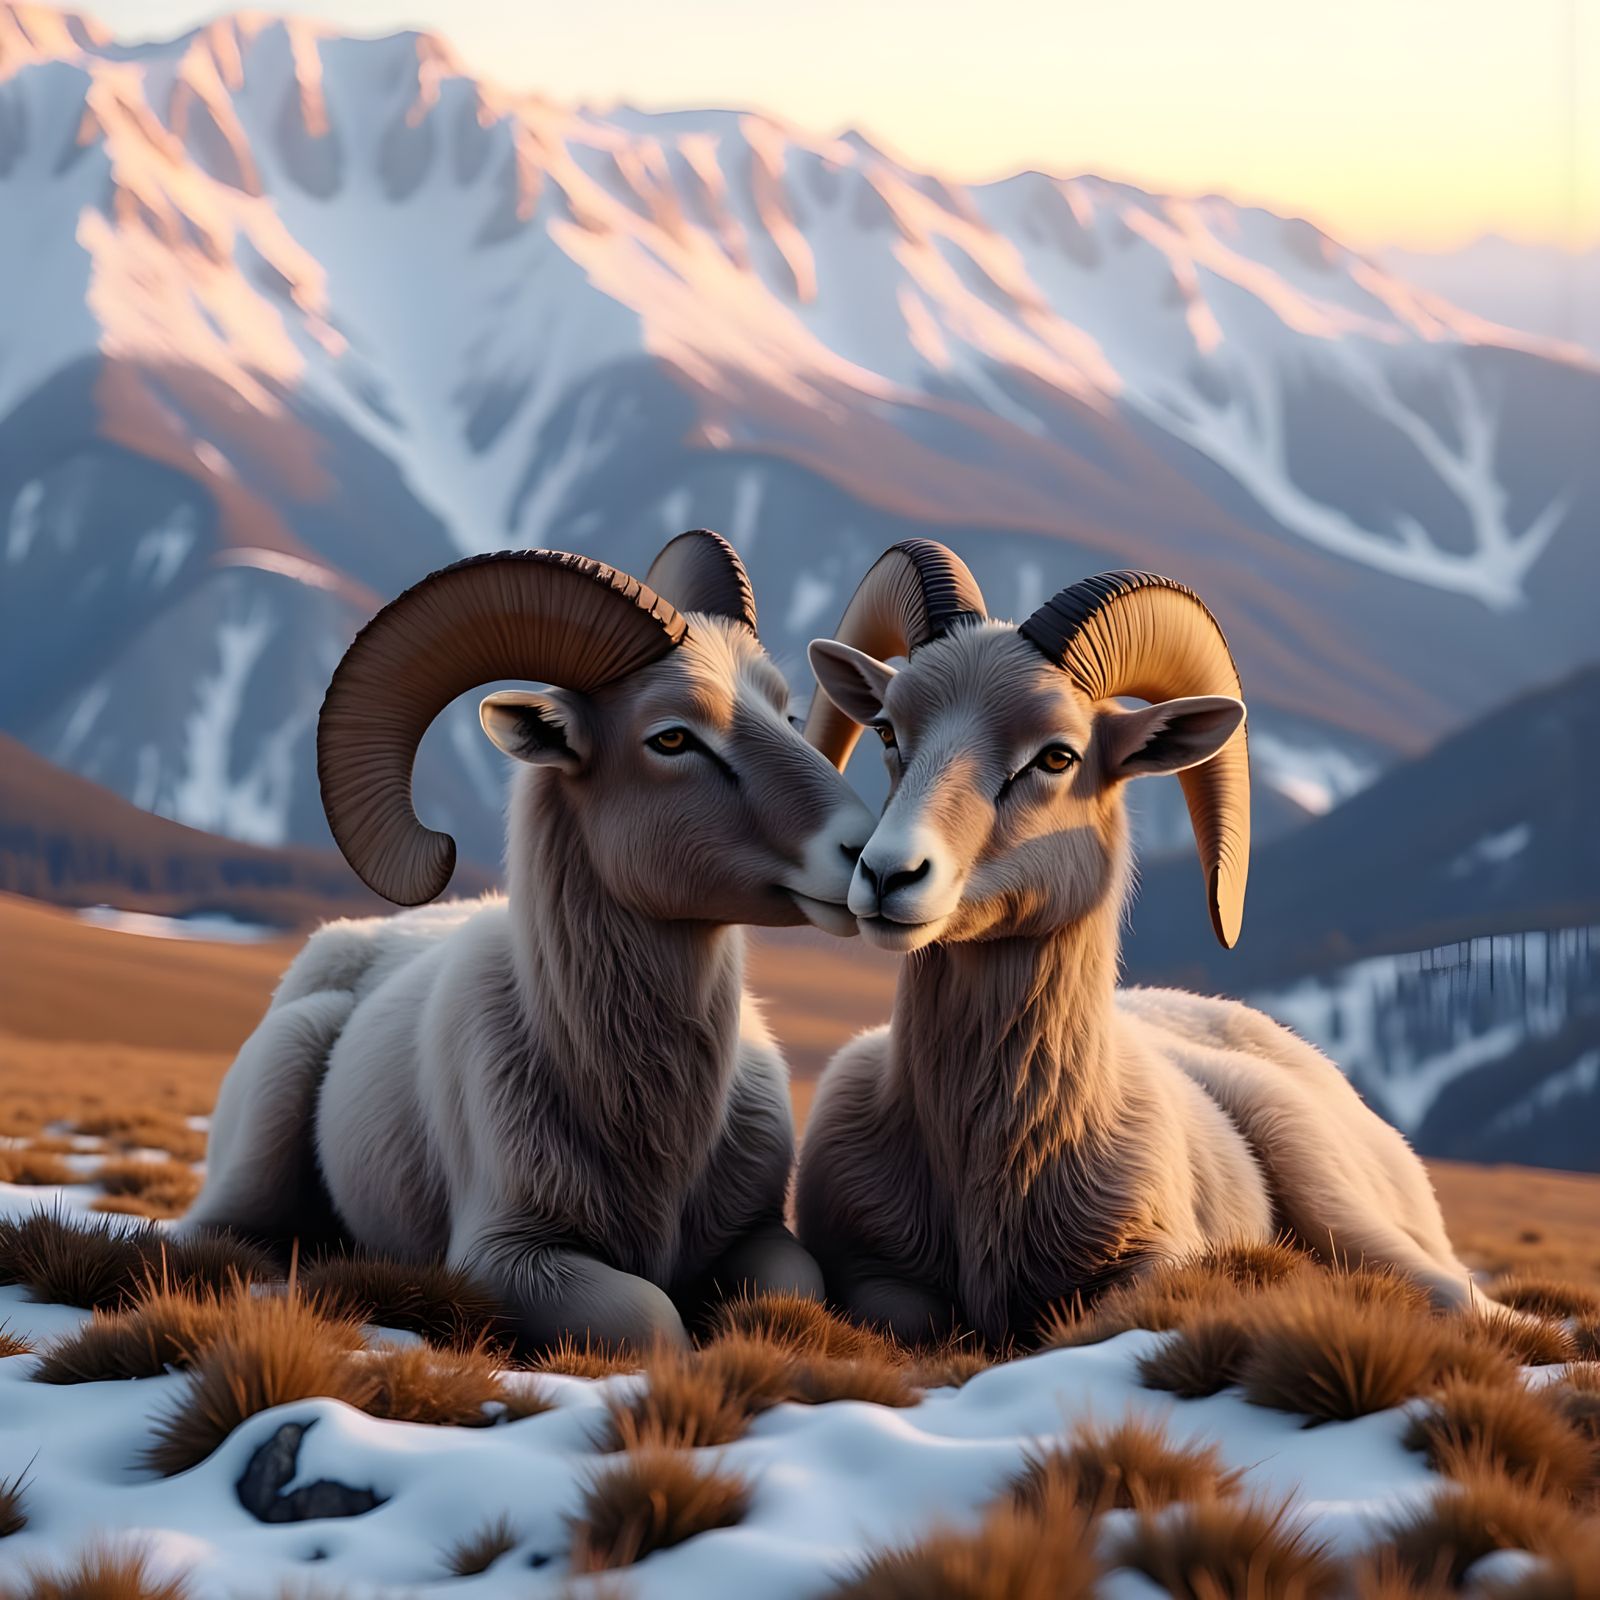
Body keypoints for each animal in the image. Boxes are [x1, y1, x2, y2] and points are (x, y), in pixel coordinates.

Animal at [184, 532, 874, 1349]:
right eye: (672, 738)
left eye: (787, 716)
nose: (867, 855)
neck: (651, 1134)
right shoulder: (508, 1259)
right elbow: (655, 1320)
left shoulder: (762, 1235)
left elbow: (788, 1294)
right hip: (272, 1106)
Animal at [794, 540, 1481, 1345]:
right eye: (887, 732)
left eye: (1057, 757)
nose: (886, 874)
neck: (986, 1160)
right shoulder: (872, 1276)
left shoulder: (1150, 1267)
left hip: (1337, 1196)